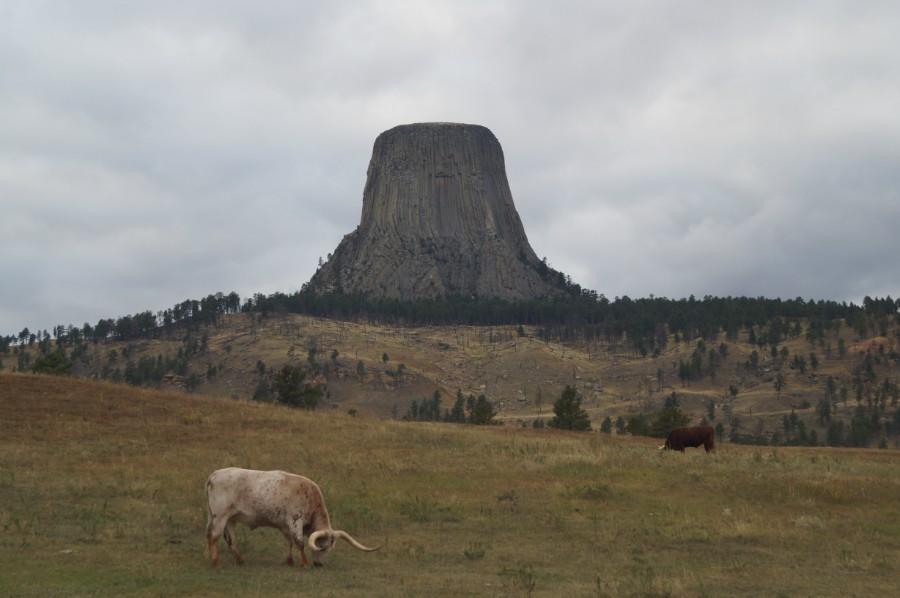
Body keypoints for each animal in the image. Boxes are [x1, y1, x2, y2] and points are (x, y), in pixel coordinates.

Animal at [206, 468, 378, 568]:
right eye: (322, 546)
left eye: (330, 548)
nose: (319, 564)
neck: (310, 497)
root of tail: (214, 474)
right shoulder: (295, 521)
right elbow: (299, 543)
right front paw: (304, 563)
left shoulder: (285, 527)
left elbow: (288, 543)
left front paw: (289, 562)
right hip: (220, 516)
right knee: (214, 537)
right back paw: (216, 562)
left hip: (229, 519)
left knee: (230, 539)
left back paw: (240, 561)